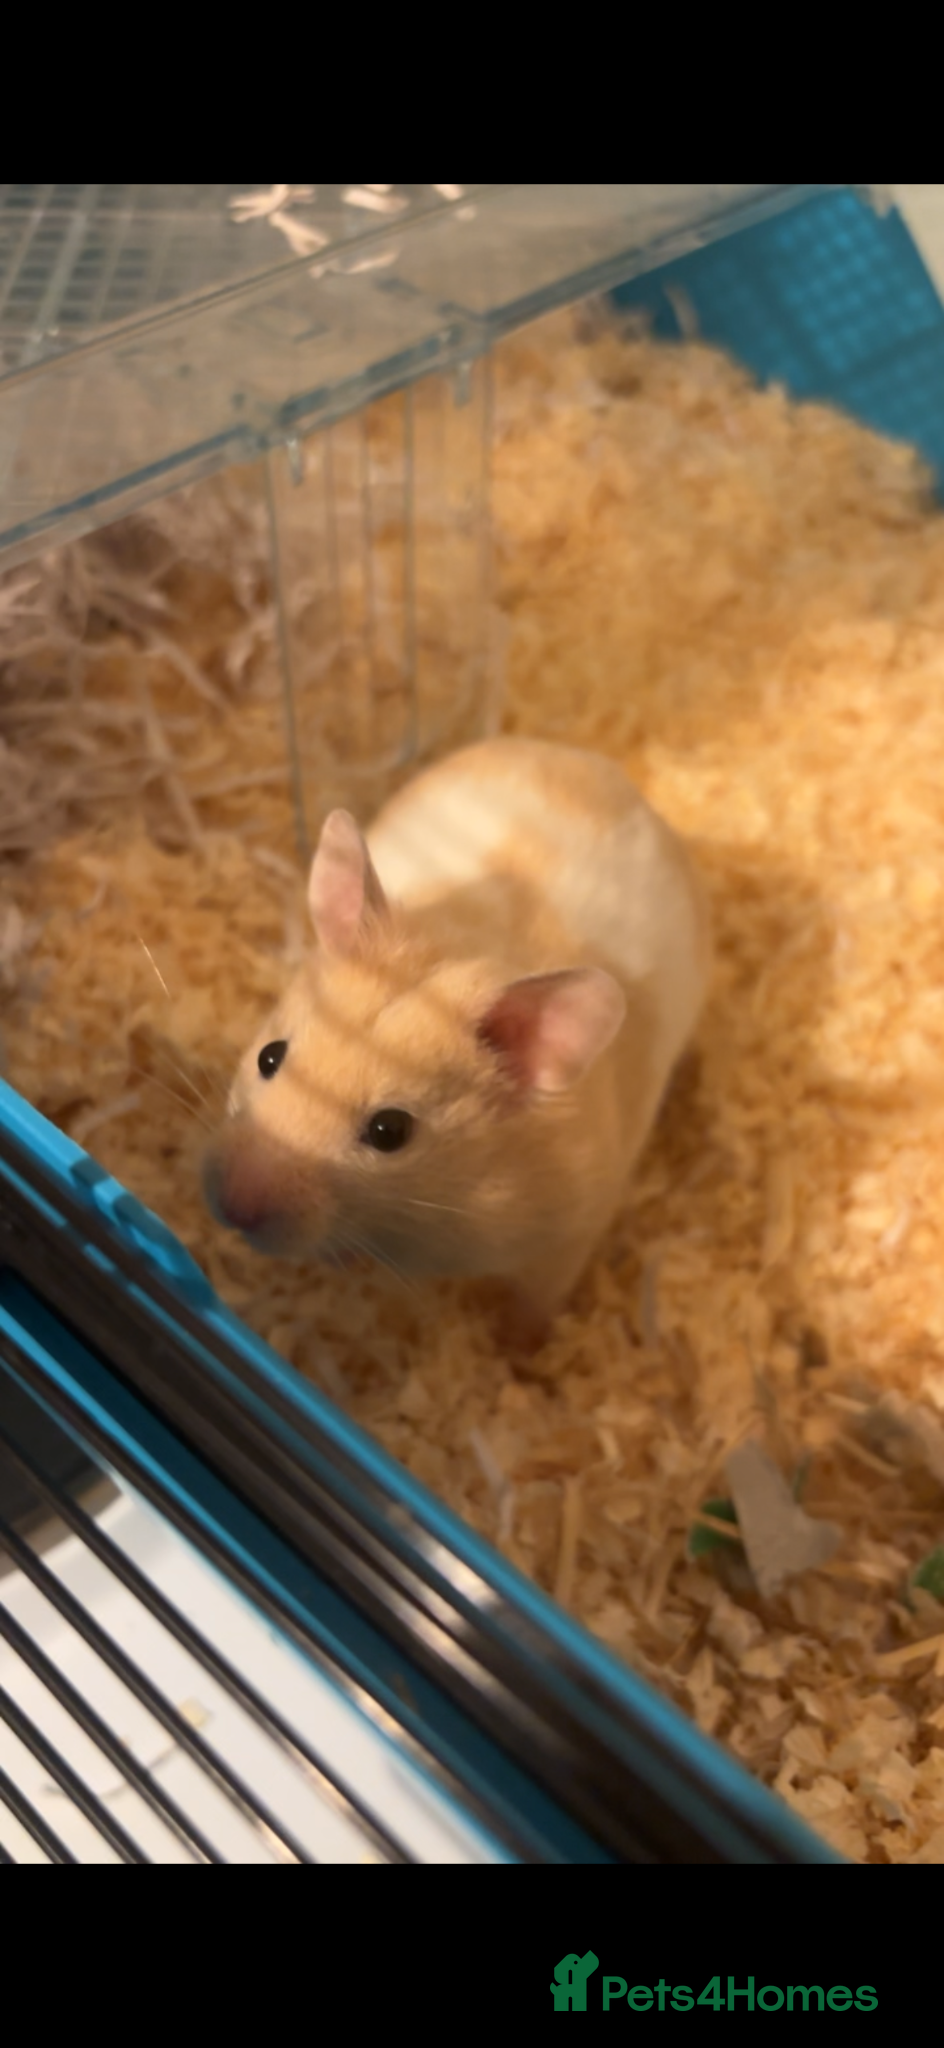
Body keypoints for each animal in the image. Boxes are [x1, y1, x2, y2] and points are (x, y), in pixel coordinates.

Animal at [203, 737, 711, 1341]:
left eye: (390, 1131)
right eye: (269, 1057)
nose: (234, 1208)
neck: (425, 1216)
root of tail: (600, 766)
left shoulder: (568, 1238)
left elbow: (536, 1303)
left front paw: (517, 1349)